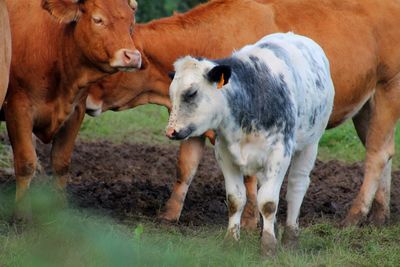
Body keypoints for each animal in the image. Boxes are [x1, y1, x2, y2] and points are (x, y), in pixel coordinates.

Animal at [3, 0, 141, 216]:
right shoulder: (18, 108)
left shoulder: (76, 111)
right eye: (98, 20)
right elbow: (26, 162)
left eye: (131, 25)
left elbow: (61, 163)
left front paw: (61, 209)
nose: (133, 57)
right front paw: (21, 213)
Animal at [65, 0, 400, 233]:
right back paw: (380, 215)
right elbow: (185, 169)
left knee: (376, 154)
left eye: (111, 67)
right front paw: (169, 216)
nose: (87, 100)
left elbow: (250, 179)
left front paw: (251, 222)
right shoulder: (193, 124)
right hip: (366, 106)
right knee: (386, 152)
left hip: (387, 91)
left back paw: (354, 216)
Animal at [166, 33, 334, 258]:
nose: (170, 131)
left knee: (296, 186)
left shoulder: (280, 154)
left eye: (191, 93)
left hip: (310, 144)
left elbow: (269, 202)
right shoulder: (224, 155)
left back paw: (290, 238)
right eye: (171, 94)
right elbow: (236, 199)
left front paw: (269, 247)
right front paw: (231, 241)